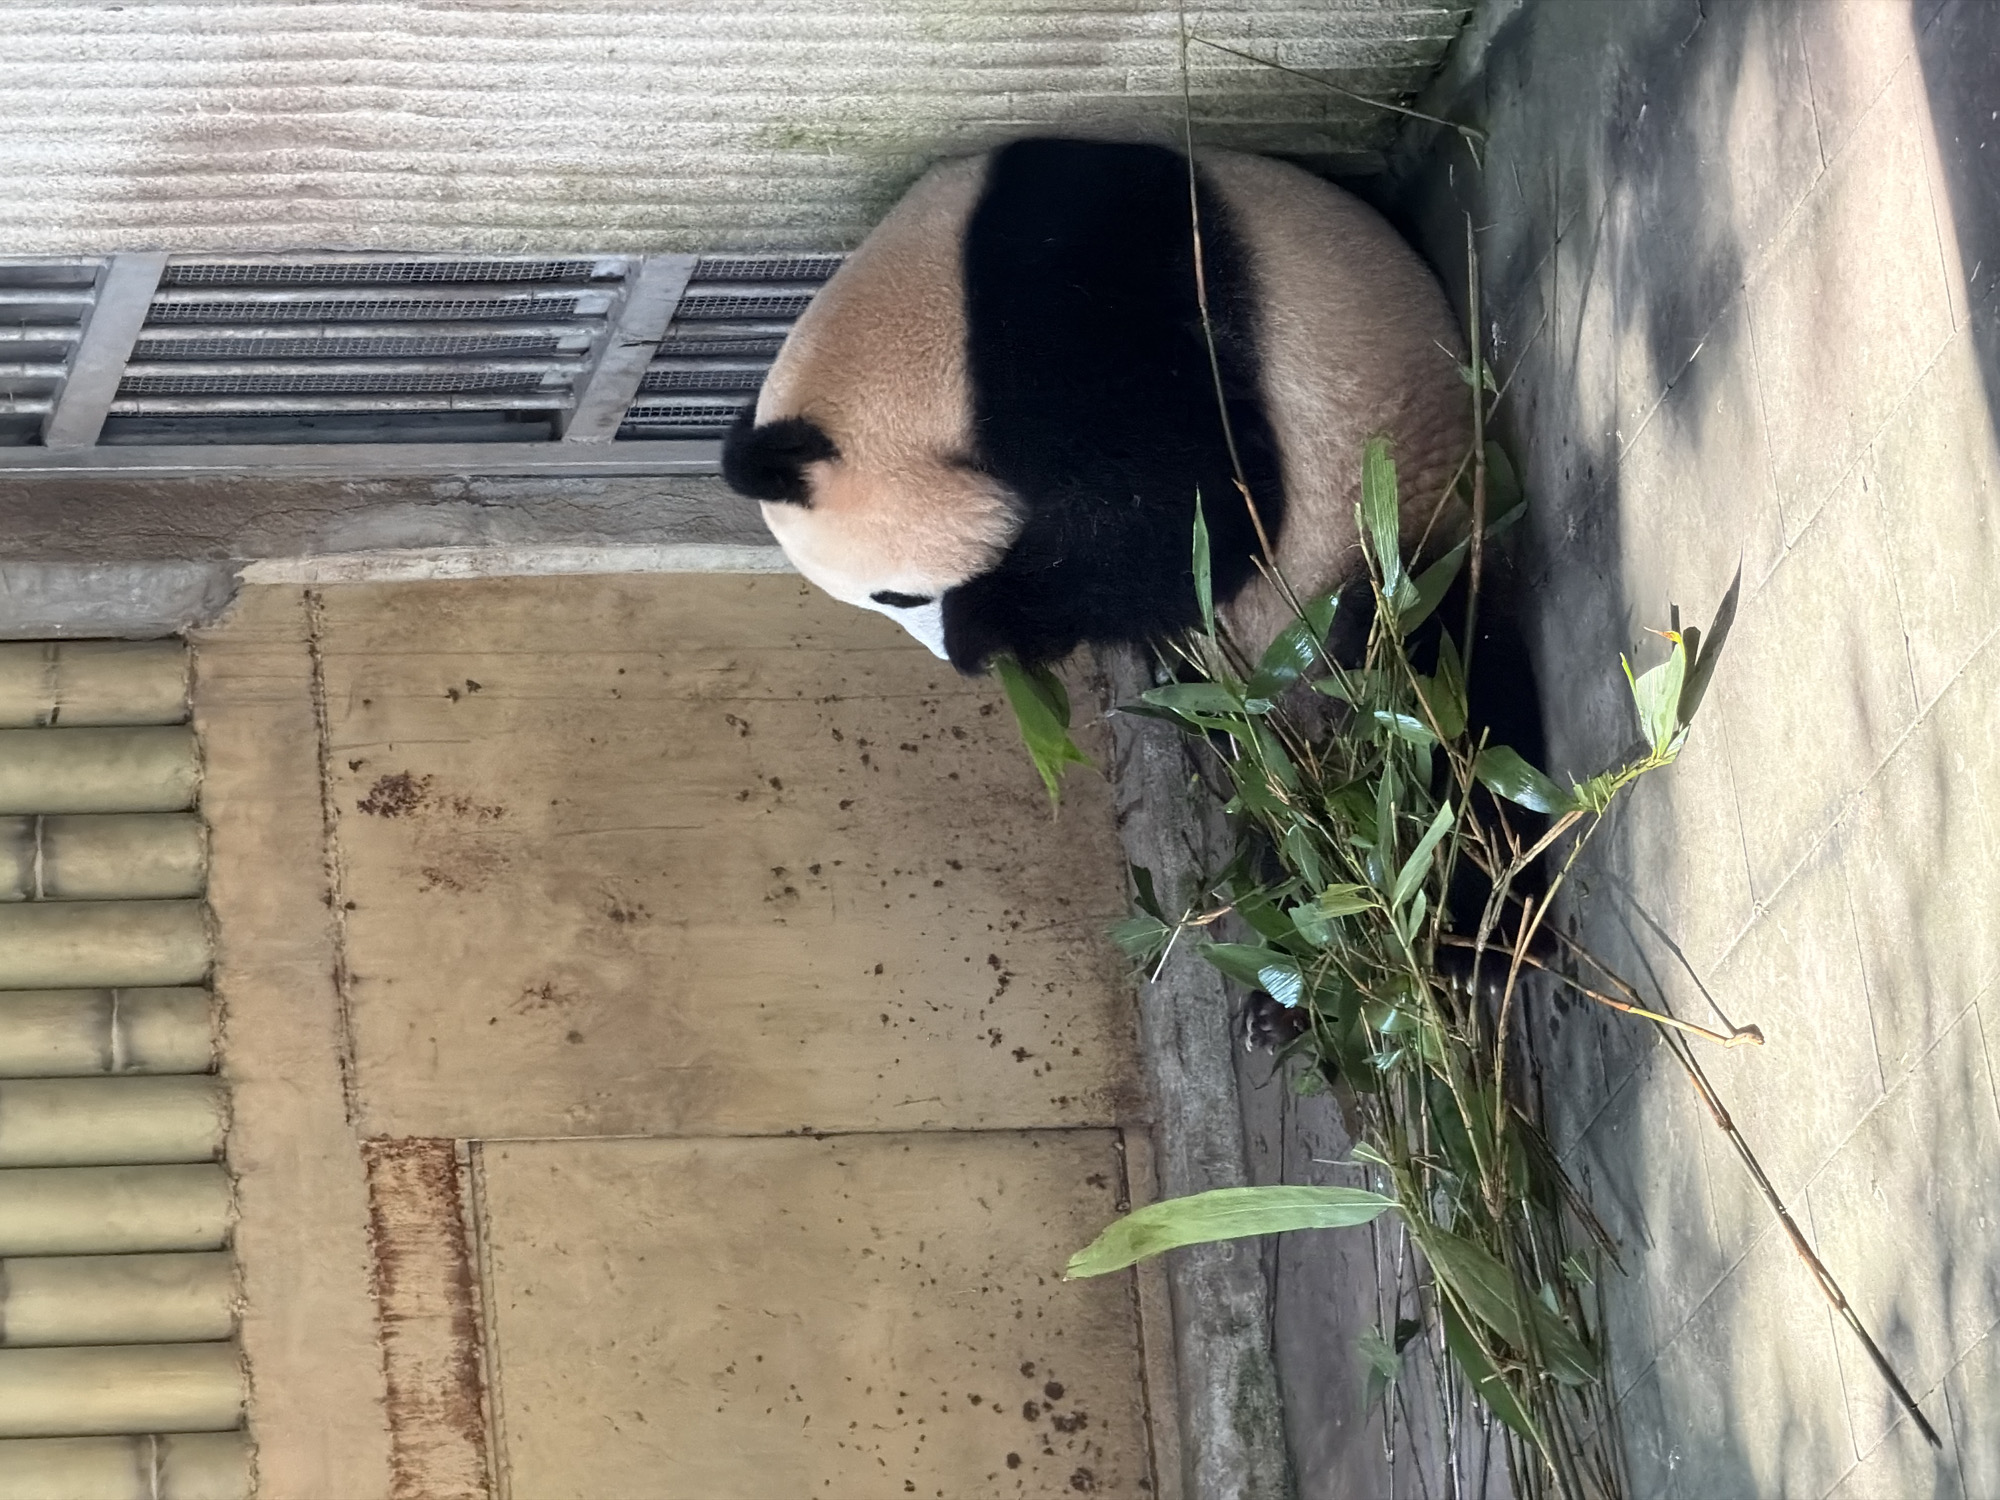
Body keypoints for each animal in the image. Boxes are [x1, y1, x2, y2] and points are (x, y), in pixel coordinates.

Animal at [720, 136, 1472, 672]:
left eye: (896, 596)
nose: (947, 659)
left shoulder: (1070, 297)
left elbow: (1189, 503)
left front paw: (989, 624)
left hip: (1390, 508)